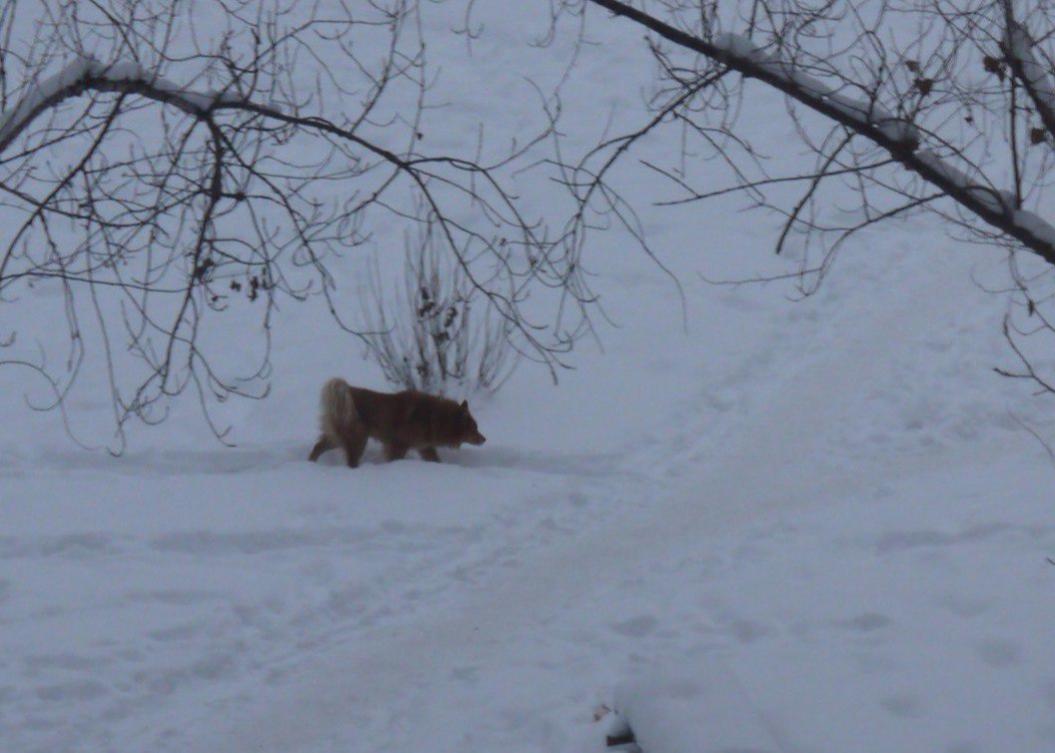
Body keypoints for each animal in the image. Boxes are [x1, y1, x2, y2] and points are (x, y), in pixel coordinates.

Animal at [308, 378, 486, 467]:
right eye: (474, 428)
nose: (484, 439)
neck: (435, 417)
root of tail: (347, 391)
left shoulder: (425, 447)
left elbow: (435, 459)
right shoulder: (398, 445)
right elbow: (394, 458)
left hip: (338, 437)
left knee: (318, 447)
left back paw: (310, 464)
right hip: (358, 439)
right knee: (351, 460)